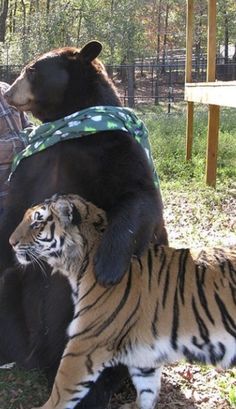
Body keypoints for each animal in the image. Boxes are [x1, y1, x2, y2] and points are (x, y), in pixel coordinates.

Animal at [1, 42, 168, 408]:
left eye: (31, 70)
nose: (7, 92)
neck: (69, 125)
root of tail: (39, 357)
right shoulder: (35, 162)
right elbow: (13, 207)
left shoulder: (114, 147)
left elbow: (139, 196)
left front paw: (105, 266)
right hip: (14, 294)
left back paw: (96, 390)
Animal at [9, 194, 236, 408]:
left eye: (37, 224)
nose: (11, 242)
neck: (79, 264)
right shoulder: (145, 354)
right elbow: (147, 391)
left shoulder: (85, 344)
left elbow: (60, 393)